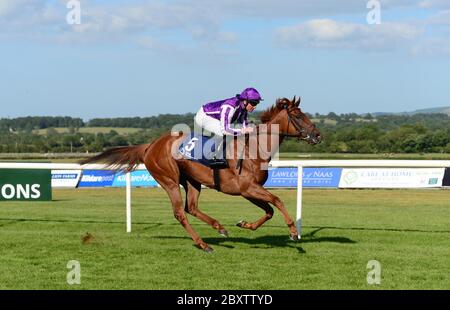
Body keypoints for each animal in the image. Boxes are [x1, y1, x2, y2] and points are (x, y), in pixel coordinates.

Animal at [80, 97, 320, 252]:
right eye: (298, 115)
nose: (318, 135)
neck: (254, 149)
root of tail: (150, 145)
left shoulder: (248, 191)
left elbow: (269, 211)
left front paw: (244, 224)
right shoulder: (247, 188)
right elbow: (277, 201)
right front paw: (293, 231)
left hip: (192, 181)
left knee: (192, 207)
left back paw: (219, 228)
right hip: (169, 179)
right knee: (180, 212)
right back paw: (203, 244)